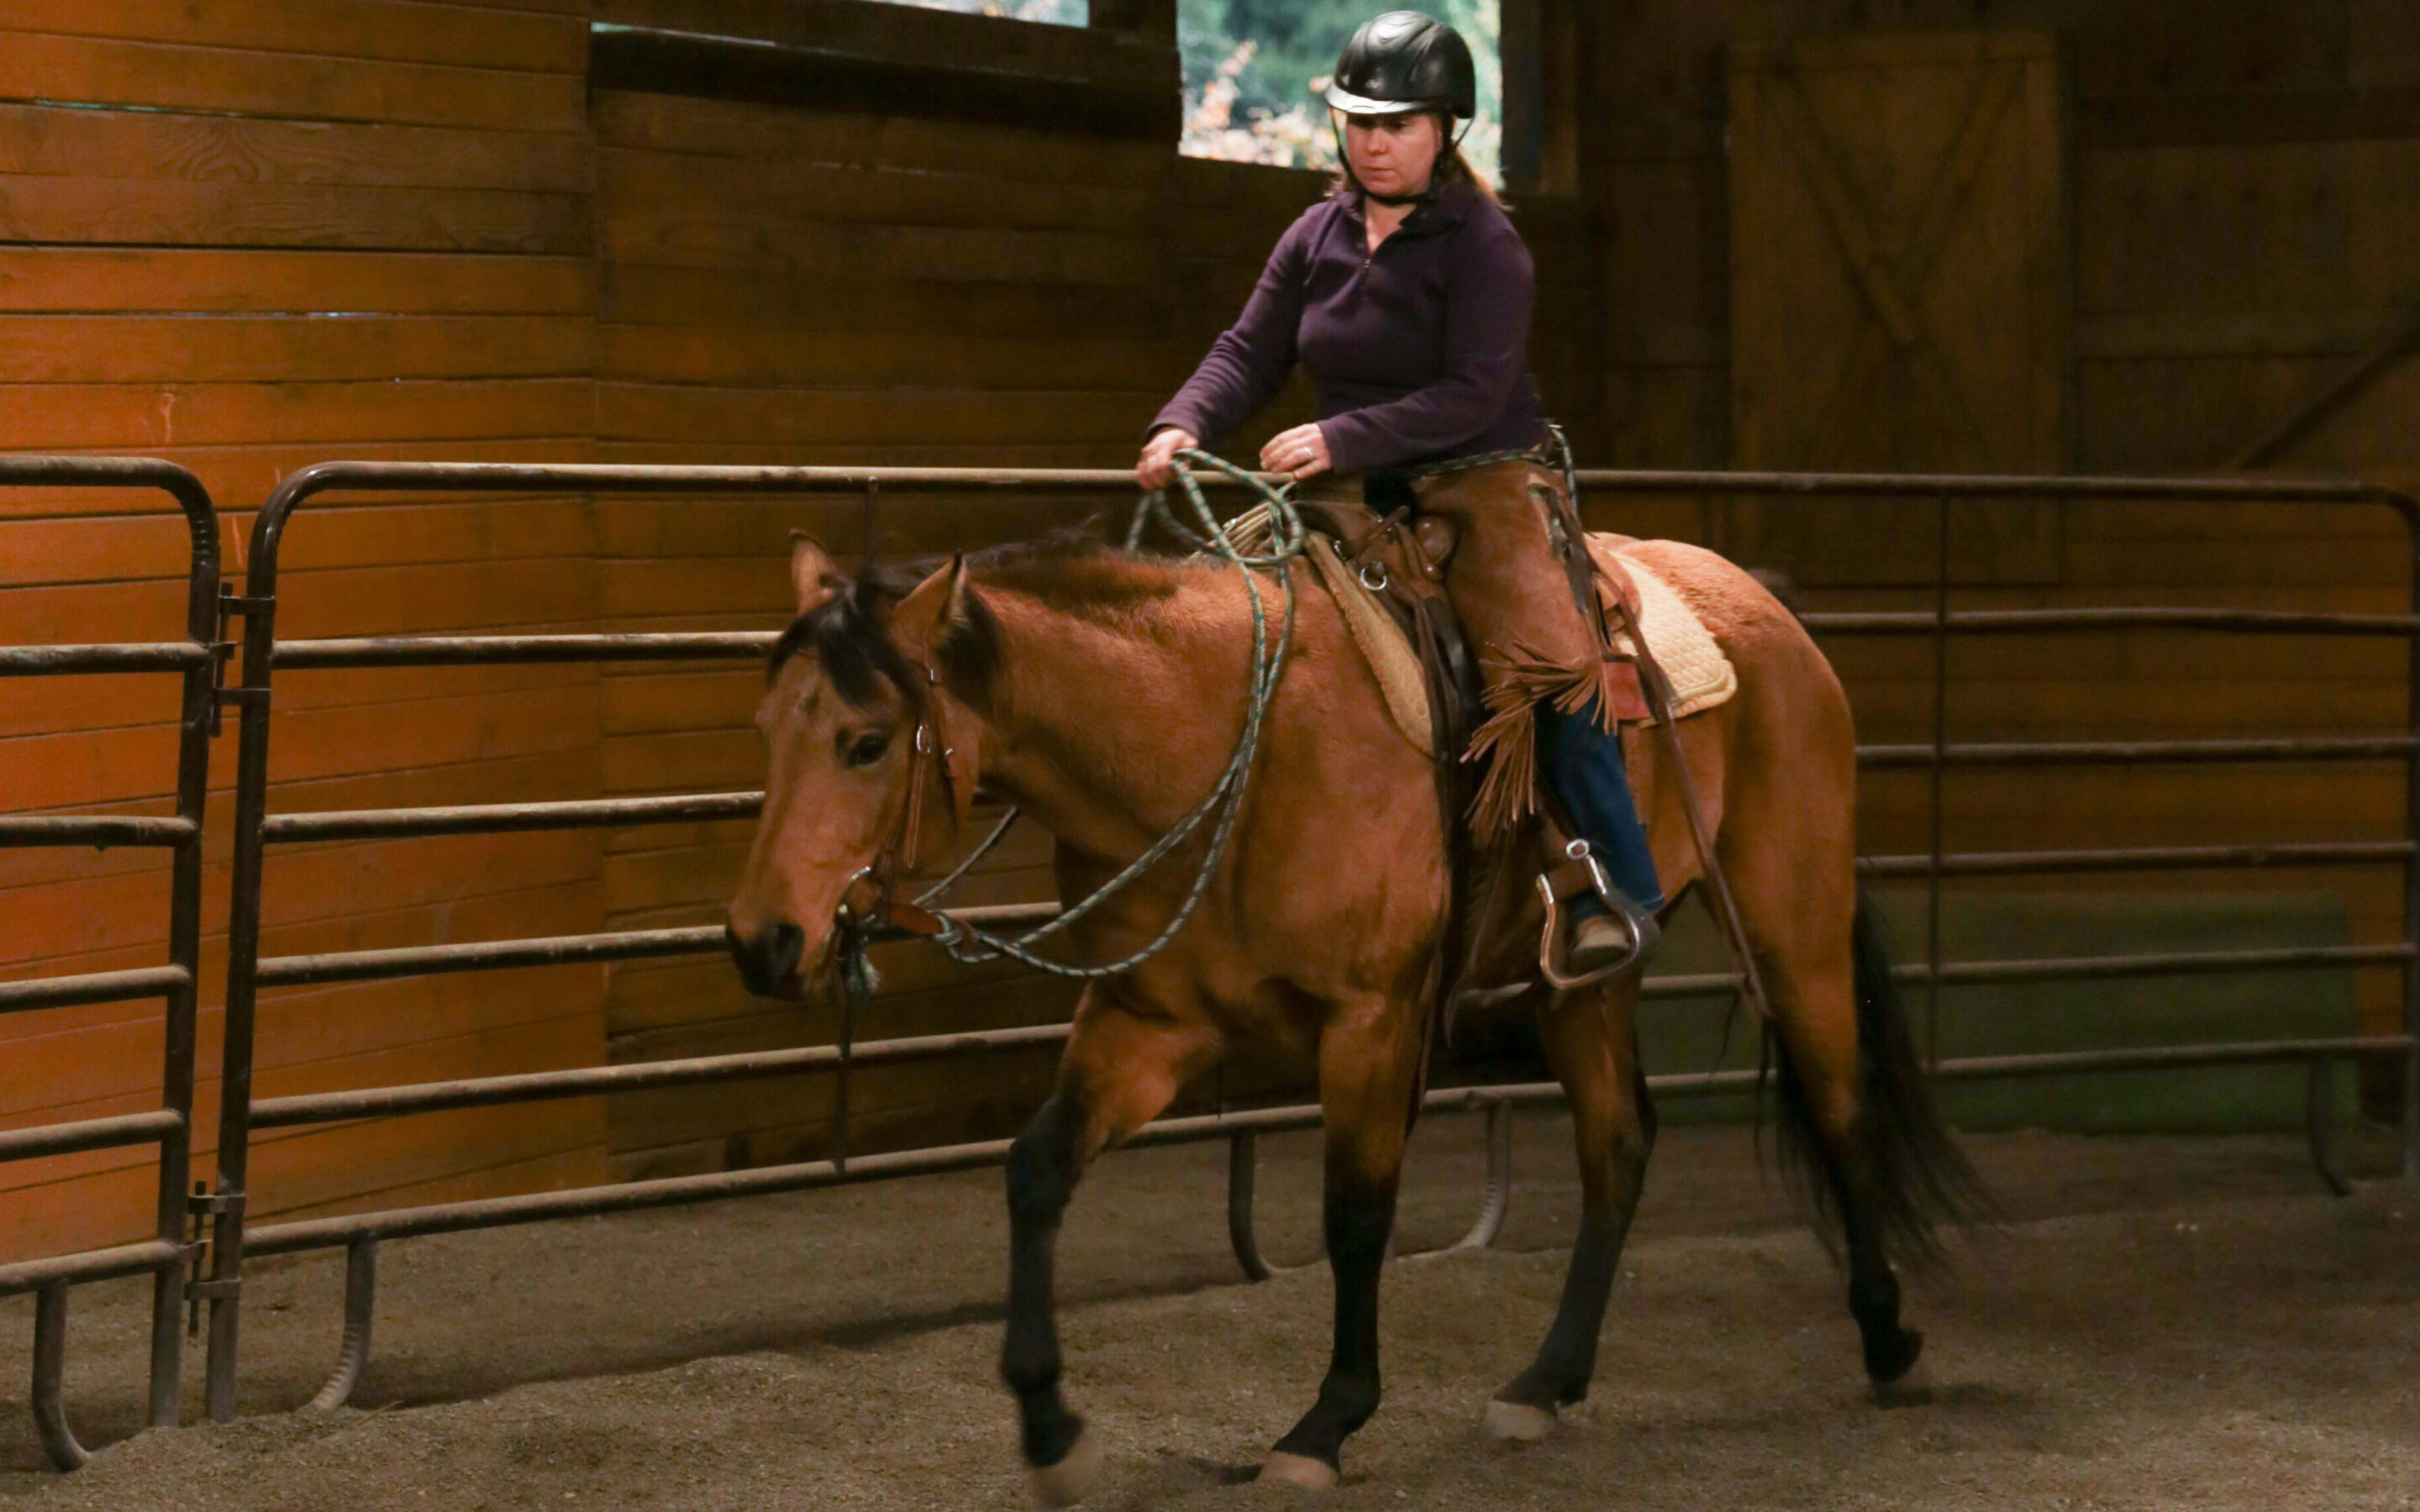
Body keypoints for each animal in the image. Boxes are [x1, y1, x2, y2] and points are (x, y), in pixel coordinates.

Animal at [726, 522, 1975, 1499]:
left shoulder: (1372, 1023)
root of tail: (1758, 603)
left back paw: (1890, 1340)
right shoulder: (1146, 1025)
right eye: (767, 729)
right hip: (1583, 980)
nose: (761, 941)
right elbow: (1037, 1170)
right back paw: (1544, 1384)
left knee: (1838, 1105)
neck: (1223, 746)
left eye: (866, 741)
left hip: (1793, 921)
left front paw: (1326, 1424)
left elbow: (1356, 1216)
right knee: (1618, 1143)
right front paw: (1050, 1428)